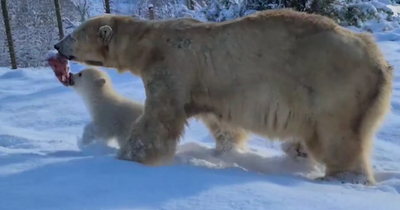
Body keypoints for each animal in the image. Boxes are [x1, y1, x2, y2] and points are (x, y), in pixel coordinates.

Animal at [54, 9, 394, 185]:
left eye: (74, 33)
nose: (57, 45)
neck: (149, 43)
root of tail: (380, 62)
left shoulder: (172, 66)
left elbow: (160, 118)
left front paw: (128, 158)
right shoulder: (208, 86)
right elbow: (221, 122)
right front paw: (224, 150)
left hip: (335, 87)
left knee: (338, 136)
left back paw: (339, 177)